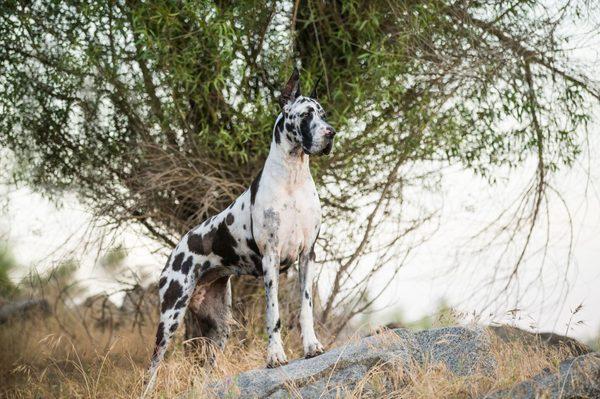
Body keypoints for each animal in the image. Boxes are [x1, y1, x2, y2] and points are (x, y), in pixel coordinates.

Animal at [143, 69, 336, 394]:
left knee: (206, 367)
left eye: (323, 114)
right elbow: (274, 314)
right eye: (306, 115)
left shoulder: (307, 255)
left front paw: (311, 346)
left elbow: (306, 308)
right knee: (153, 365)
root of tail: (179, 246)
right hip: (170, 315)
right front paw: (275, 356)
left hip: (220, 326)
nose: (331, 133)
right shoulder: (271, 259)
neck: (293, 178)